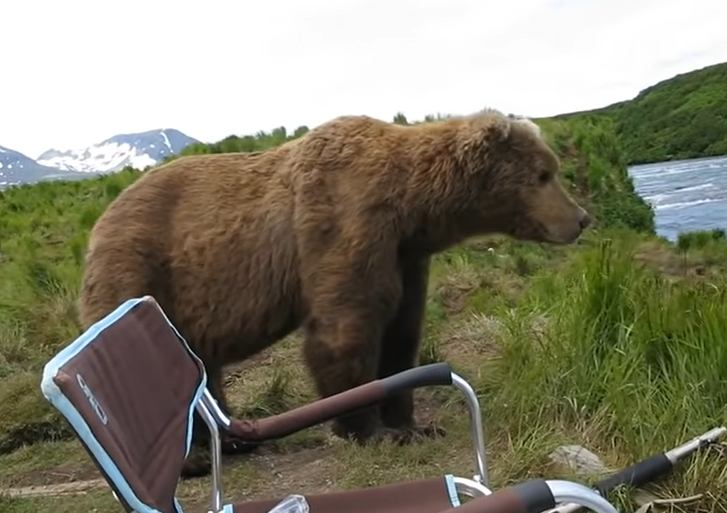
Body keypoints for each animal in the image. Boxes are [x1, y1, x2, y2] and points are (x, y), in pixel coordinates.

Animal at [77, 108, 592, 478]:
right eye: (543, 174)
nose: (582, 218)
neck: (412, 205)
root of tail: (99, 223)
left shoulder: (407, 255)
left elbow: (402, 332)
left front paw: (415, 424)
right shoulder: (346, 221)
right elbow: (347, 327)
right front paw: (367, 429)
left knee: (203, 367)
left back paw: (235, 439)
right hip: (139, 273)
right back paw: (193, 461)